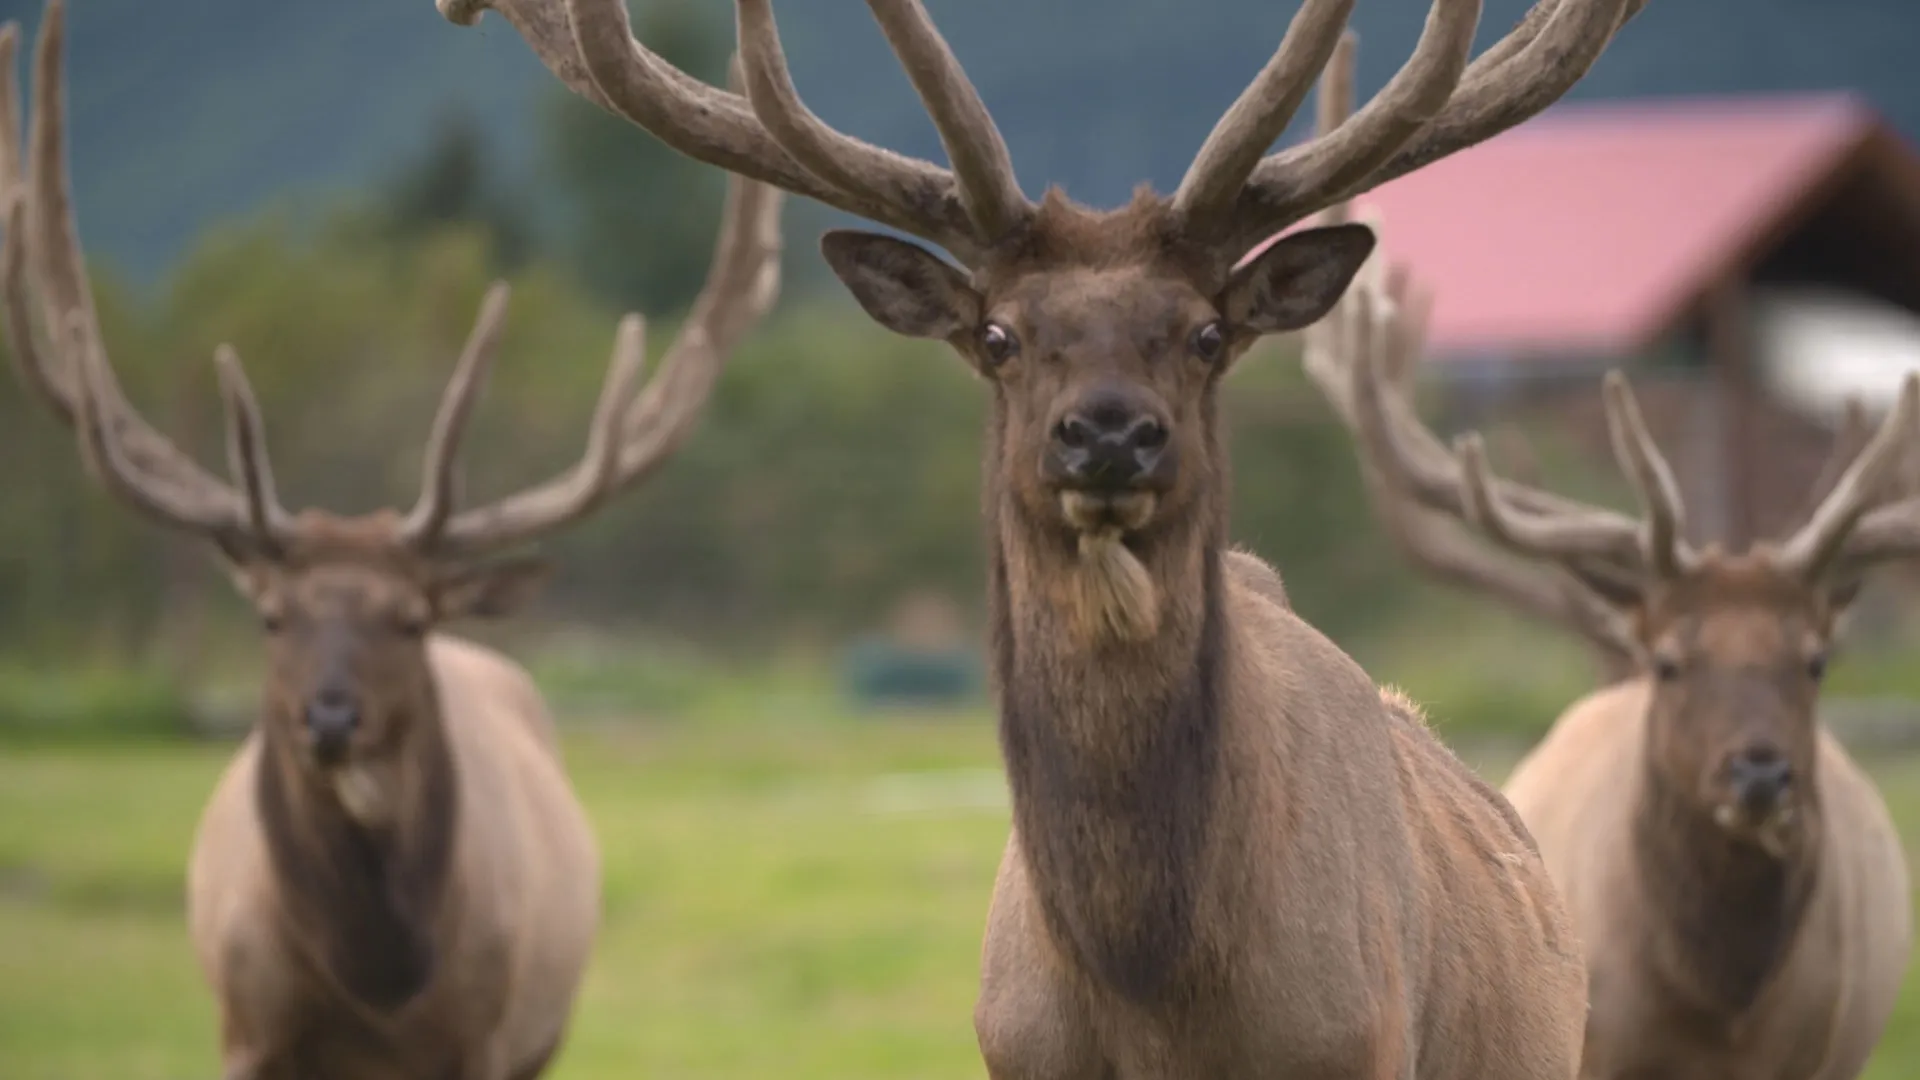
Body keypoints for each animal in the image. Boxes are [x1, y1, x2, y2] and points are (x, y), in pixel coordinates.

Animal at [0, 5, 782, 1077]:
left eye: (411, 620)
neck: (373, 985)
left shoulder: (487, 1039)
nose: (329, 717)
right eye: (270, 619)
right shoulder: (245, 1030)